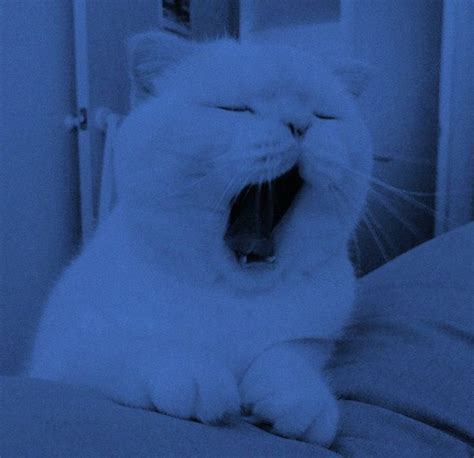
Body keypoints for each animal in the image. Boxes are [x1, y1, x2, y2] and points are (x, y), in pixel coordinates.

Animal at [27, 32, 374, 448]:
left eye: (325, 116)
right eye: (236, 109)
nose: (300, 124)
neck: (234, 298)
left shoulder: (316, 339)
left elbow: (289, 355)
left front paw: (301, 398)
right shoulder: (60, 355)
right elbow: (131, 348)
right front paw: (193, 375)